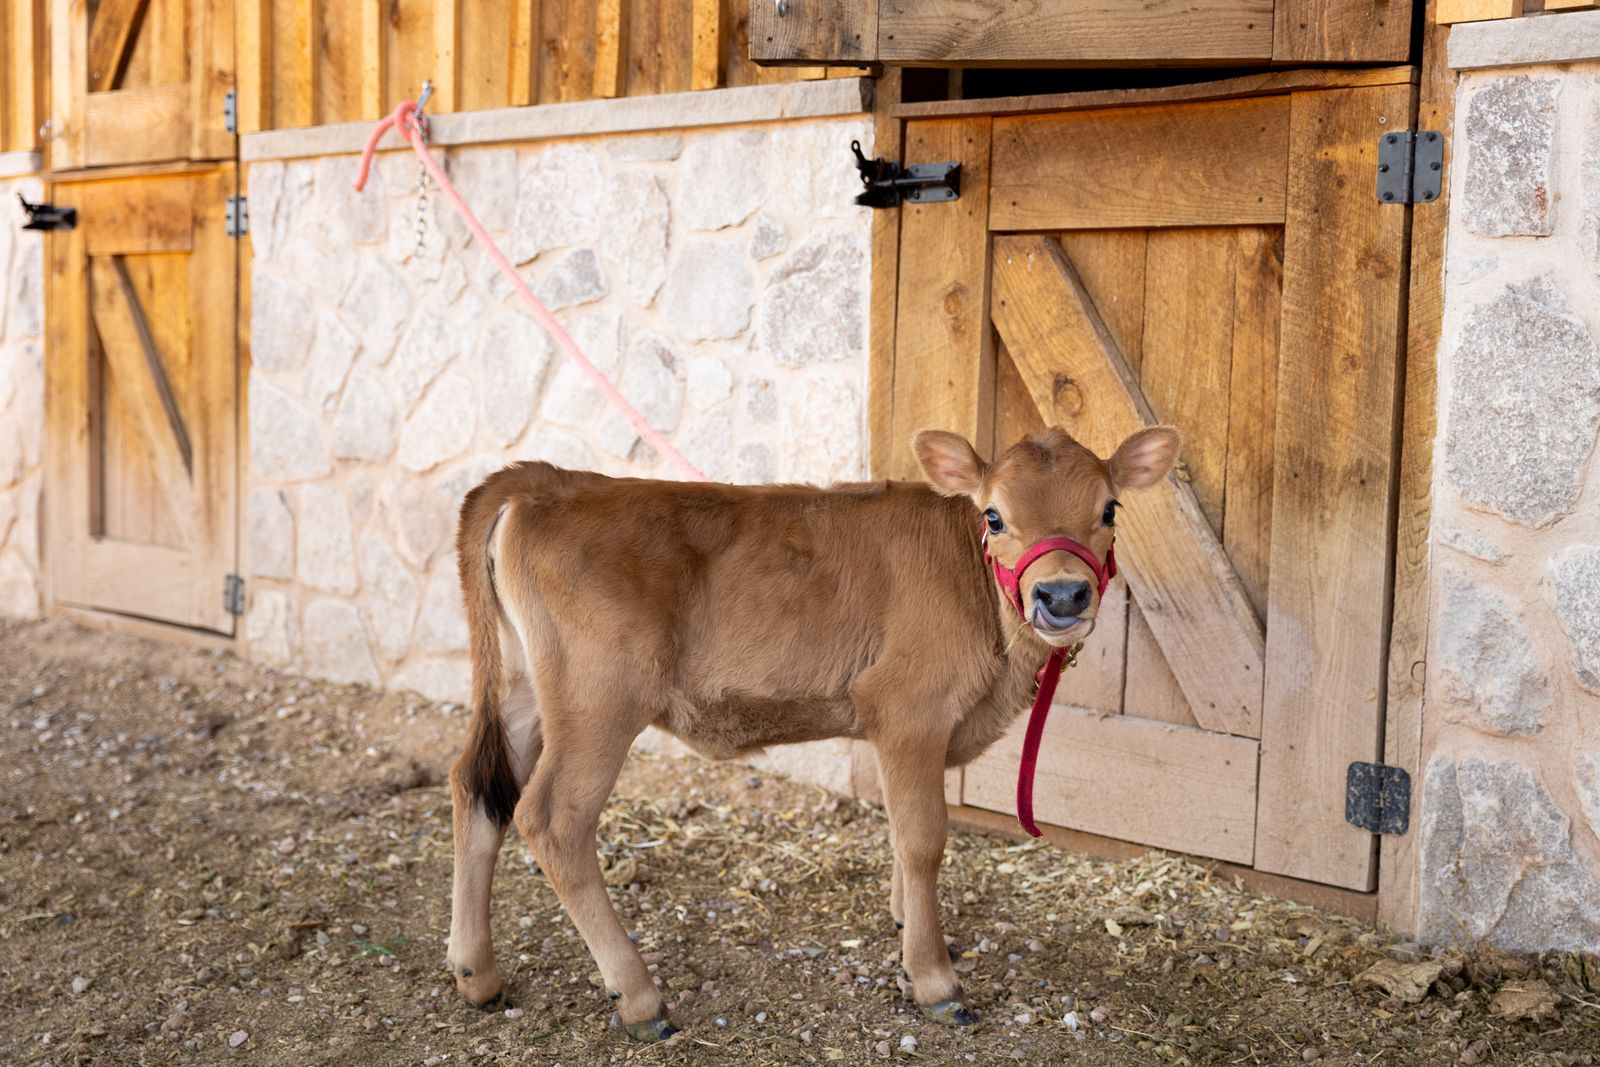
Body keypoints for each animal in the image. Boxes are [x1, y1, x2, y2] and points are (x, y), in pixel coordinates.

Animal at [444, 424, 1181, 1040]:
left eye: (1110, 508)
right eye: (993, 514)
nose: (1062, 595)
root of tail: (550, 480)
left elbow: (901, 829)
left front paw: (905, 922)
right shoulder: (907, 706)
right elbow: (924, 838)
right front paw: (933, 977)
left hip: (522, 690)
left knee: (475, 791)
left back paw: (476, 975)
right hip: (599, 701)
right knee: (551, 818)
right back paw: (639, 997)